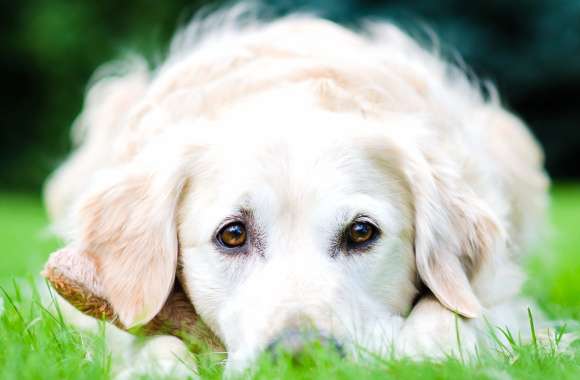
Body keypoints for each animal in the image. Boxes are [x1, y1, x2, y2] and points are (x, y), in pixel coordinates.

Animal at [42, 8, 548, 378]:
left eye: (362, 232)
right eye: (232, 235)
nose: (302, 355)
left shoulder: (500, 298)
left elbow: (452, 316)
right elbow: (150, 340)